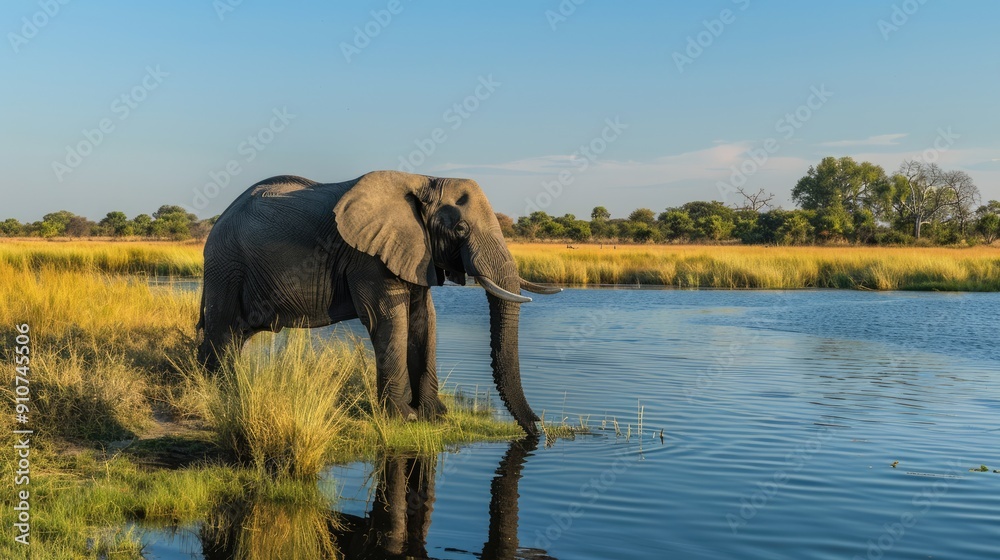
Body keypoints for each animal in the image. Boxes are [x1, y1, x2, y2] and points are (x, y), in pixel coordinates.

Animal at [197, 170, 559, 434]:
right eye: (460, 228)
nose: (537, 429)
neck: (424, 180)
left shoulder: (415, 251)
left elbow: (424, 318)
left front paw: (434, 416)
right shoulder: (368, 256)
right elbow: (388, 317)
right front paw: (404, 417)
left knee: (233, 334)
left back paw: (210, 384)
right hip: (226, 264)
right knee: (223, 331)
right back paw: (219, 393)